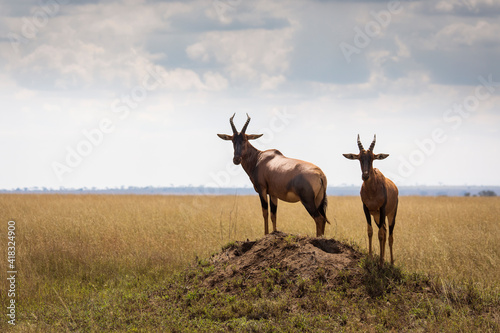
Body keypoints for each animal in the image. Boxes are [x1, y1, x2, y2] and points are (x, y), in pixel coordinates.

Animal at [344, 134, 398, 264]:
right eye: (359, 158)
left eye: (373, 158)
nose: (365, 175)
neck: (372, 191)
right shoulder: (366, 209)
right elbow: (370, 231)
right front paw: (370, 257)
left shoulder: (382, 209)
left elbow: (381, 234)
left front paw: (381, 263)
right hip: (377, 217)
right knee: (384, 230)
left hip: (391, 214)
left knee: (390, 235)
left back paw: (391, 262)